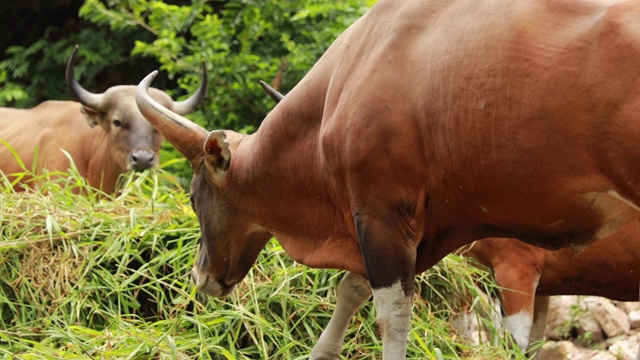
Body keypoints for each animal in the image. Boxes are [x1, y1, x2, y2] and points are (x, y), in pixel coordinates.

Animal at [138, 1, 640, 358]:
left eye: (193, 197)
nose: (201, 275)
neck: (348, 79)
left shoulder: (388, 217)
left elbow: (393, 316)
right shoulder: (397, 226)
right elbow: (351, 289)